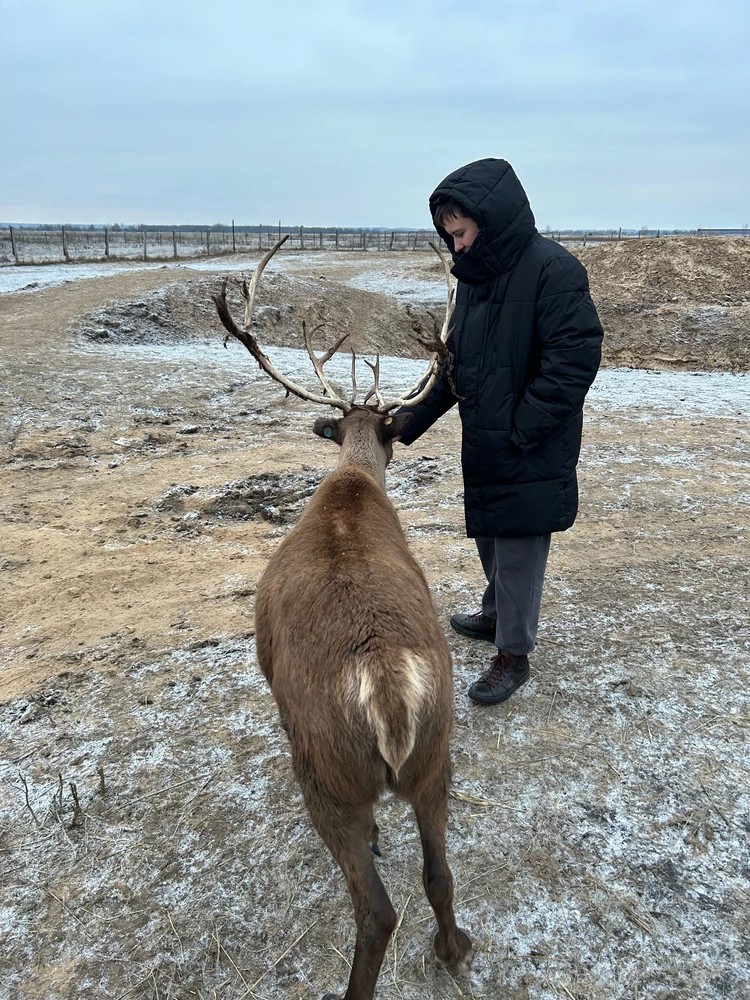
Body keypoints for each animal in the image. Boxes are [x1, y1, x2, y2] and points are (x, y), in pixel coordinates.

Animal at [212, 238, 472, 1000]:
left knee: (376, 909)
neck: (349, 486)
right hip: (436, 753)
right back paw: (456, 950)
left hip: (324, 770)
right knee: (440, 873)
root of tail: (386, 690)